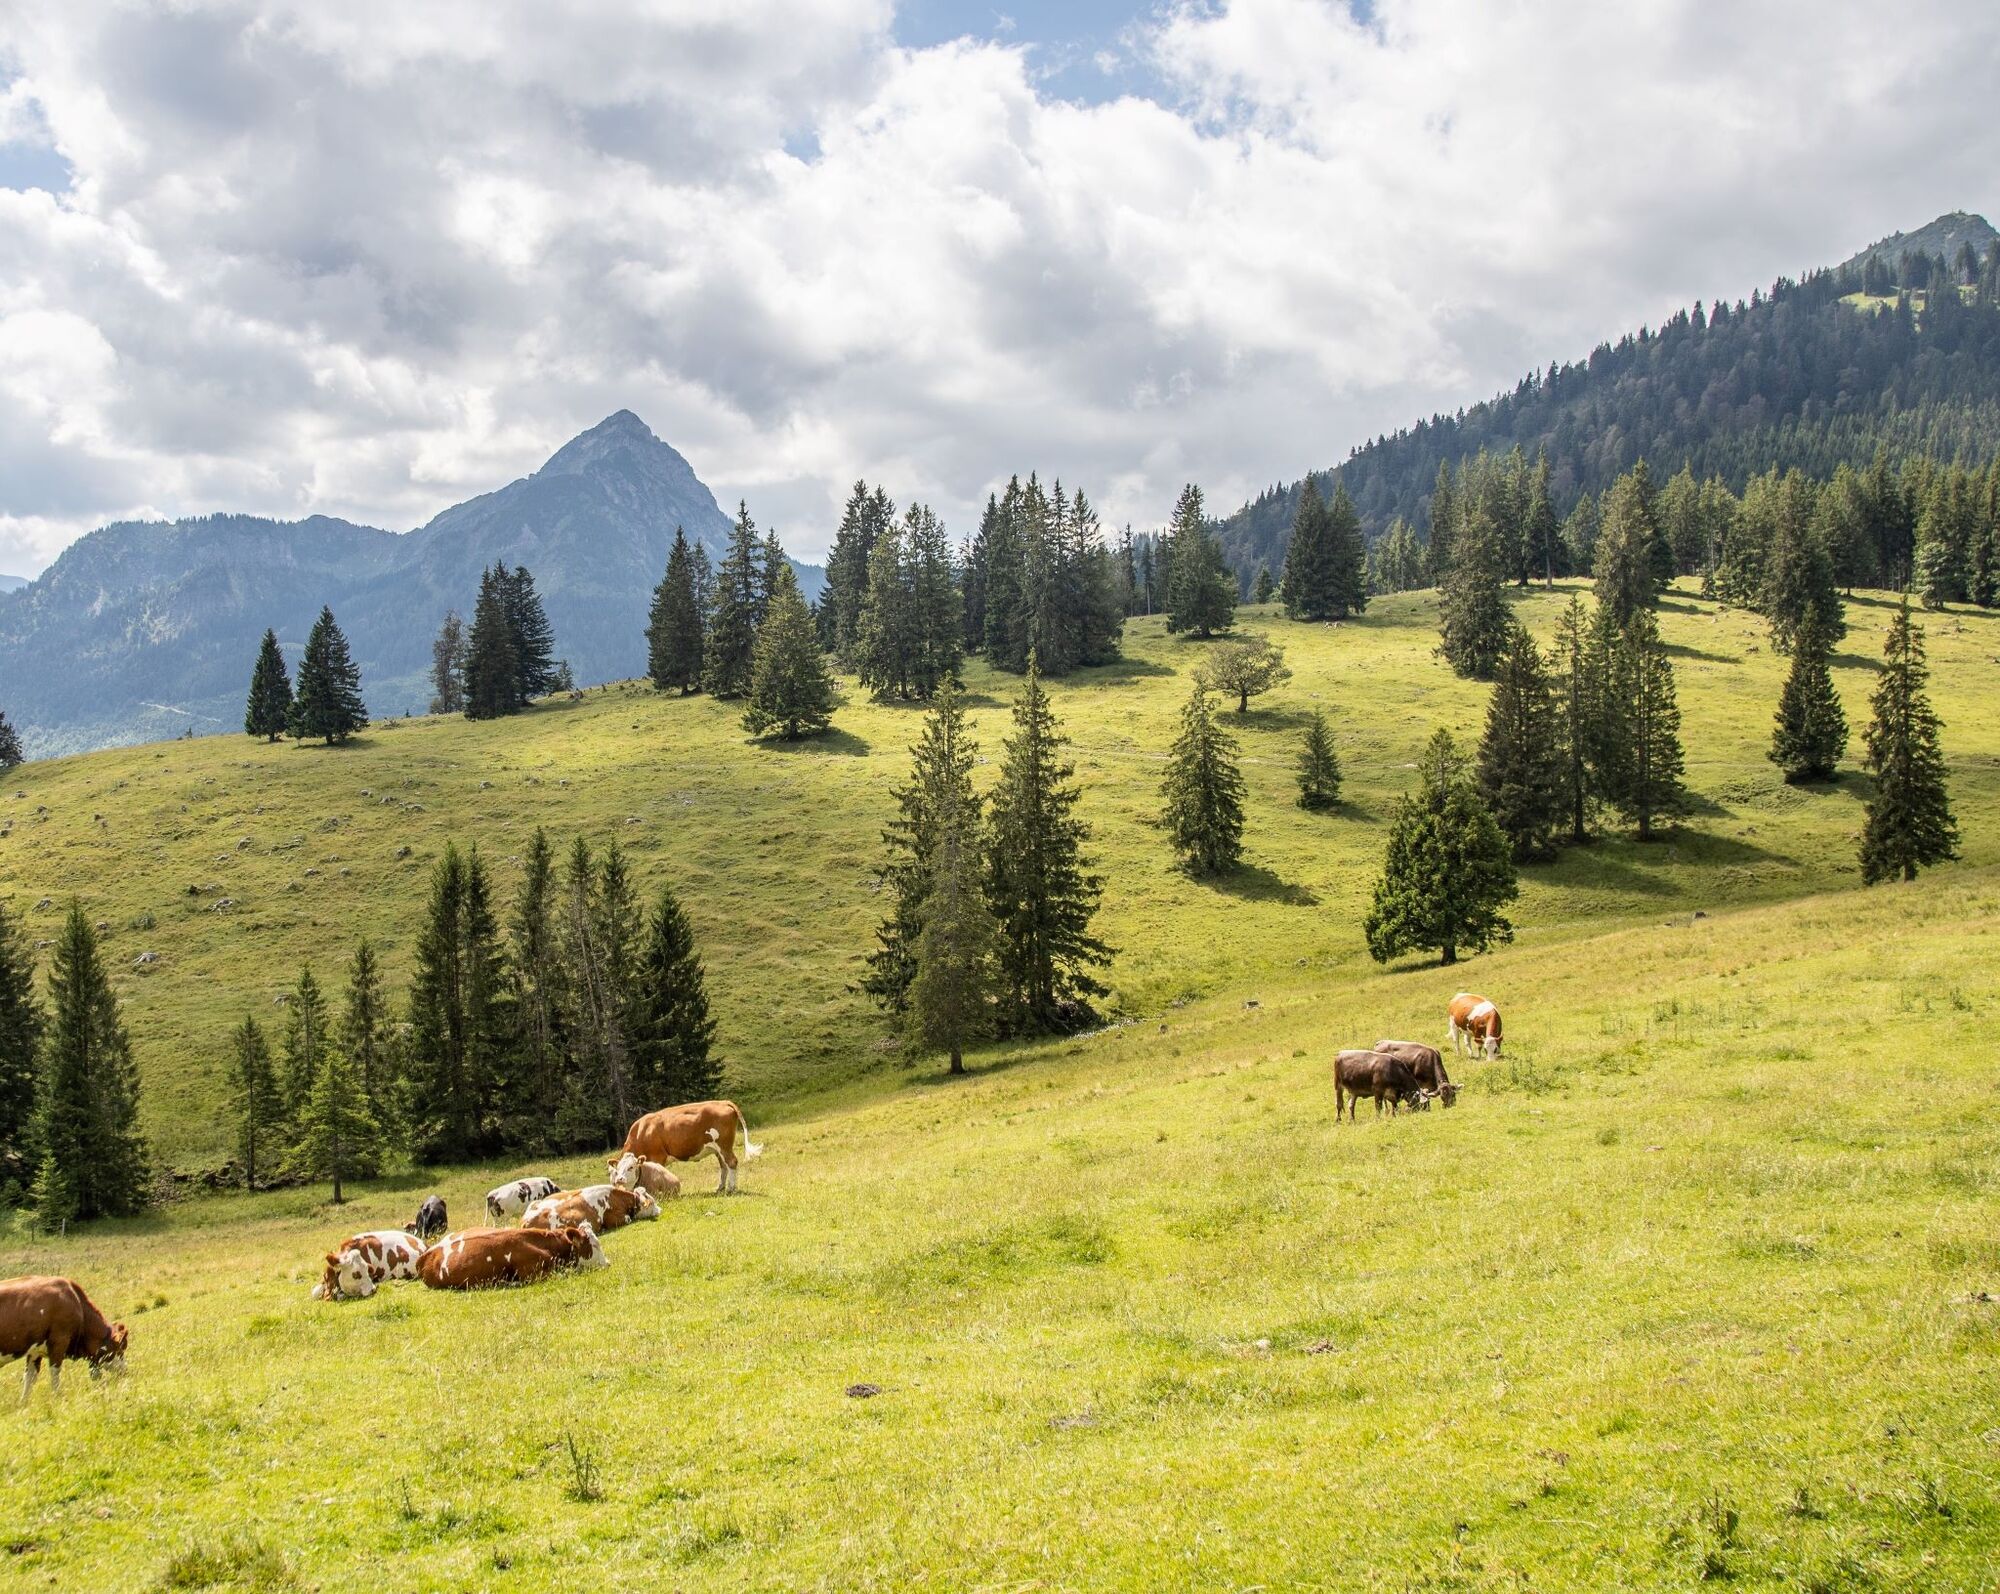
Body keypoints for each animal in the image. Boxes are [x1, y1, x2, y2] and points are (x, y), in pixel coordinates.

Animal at [621, 1100, 762, 1194]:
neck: (640, 1133)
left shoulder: (657, 1156)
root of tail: (723, 1102)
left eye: (631, 1168)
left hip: (724, 1145)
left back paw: (731, 1189)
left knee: (732, 1162)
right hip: (718, 1149)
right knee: (724, 1165)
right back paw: (720, 1188)